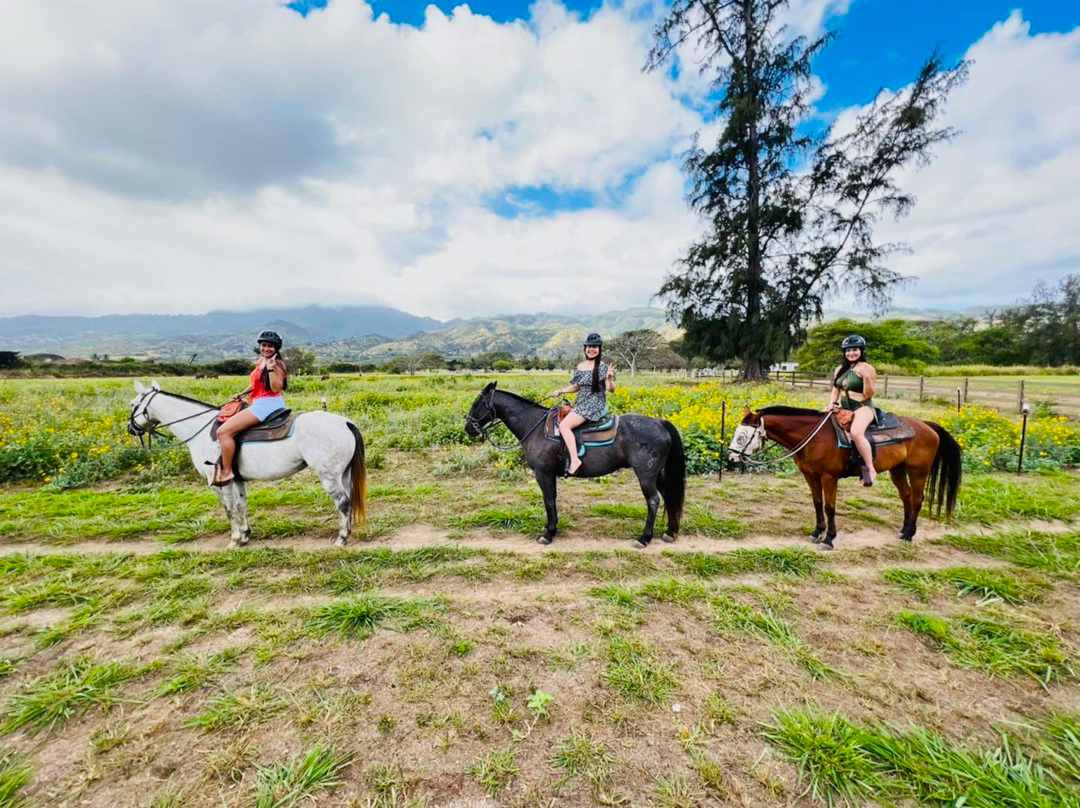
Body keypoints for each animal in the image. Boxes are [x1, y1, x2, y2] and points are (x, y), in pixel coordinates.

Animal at [127, 382, 367, 546]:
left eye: (133, 404)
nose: (131, 429)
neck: (200, 428)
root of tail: (345, 422)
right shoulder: (236, 479)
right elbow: (241, 505)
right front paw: (245, 535)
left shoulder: (219, 482)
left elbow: (229, 509)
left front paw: (234, 539)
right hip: (343, 473)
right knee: (348, 500)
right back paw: (348, 532)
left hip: (329, 476)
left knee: (343, 502)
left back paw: (342, 538)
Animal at [462, 382, 682, 546]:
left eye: (478, 402)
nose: (468, 428)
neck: (535, 426)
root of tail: (659, 423)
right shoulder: (549, 474)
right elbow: (552, 500)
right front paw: (552, 529)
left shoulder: (543, 473)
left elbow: (549, 501)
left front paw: (548, 534)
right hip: (657, 474)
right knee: (668, 497)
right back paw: (670, 532)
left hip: (646, 475)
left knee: (653, 501)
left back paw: (644, 538)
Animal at [730, 406, 967, 546]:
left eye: (743, 435)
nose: (731, 458)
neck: (814, 437)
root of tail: (927, 425)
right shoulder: (810, 475)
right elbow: (817, 503)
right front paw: (817, 532)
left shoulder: (829, 477)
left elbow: (829, 506)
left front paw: (829, 538)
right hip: (897, 470)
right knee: (906, 497)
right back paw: (903, 530)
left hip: (918, 471)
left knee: (917, 498)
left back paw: (909, 535)